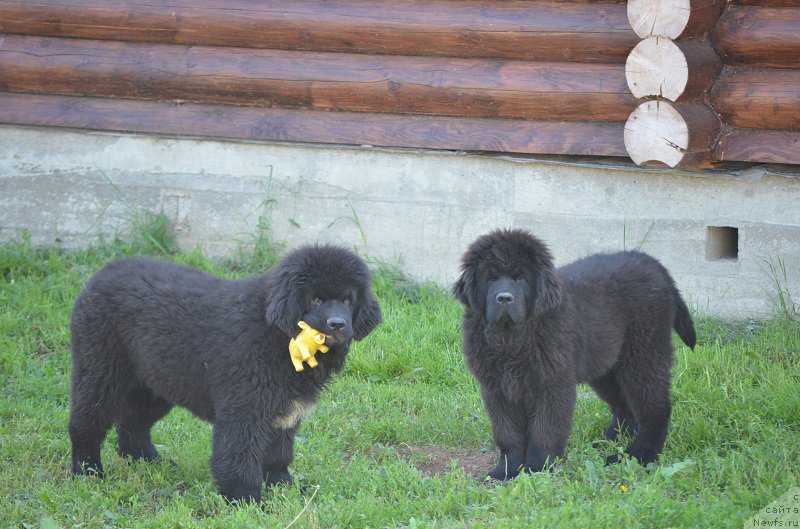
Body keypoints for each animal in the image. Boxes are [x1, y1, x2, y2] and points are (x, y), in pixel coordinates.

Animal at [69, 245, 382, 502]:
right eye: (316, 299)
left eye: (347, 300)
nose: (337, 324)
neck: (276, 332)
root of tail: (104, 272)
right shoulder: (244, 407)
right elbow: (239, 457)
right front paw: (244, 500)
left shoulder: (284, 411)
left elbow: (279, 454)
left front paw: (284, 487)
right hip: (101, 370)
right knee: (86, 424)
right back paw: (88, 472)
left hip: (158, 380)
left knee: (132, 426)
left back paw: (150, 461)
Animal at [454, 227, 696, 478]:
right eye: (490, 278)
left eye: (521, 278)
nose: (504, 298)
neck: (512, 339)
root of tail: (652, 263)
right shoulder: (496, 388)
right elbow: (507, 434)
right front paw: (506, 470)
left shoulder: (552, 385)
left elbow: (545, 430)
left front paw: (537, 468)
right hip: (605, 365)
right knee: (624, 408)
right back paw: (607, 443)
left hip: (644, 354)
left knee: (655, 408)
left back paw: (639, 455)